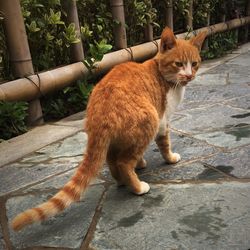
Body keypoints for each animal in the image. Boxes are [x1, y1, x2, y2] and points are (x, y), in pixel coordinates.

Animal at [11, 26, 207, 230]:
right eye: (178, 64)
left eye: (194, 64)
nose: (189, 75)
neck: (164, 77)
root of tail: (99, 112)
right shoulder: (162, 121)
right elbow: (164, 144)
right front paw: (170, 158)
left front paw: (141, 162)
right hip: (150, 120)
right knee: (123, 162)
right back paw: (137, 187)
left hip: (117, 139)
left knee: (113, 160)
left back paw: (122, 180)